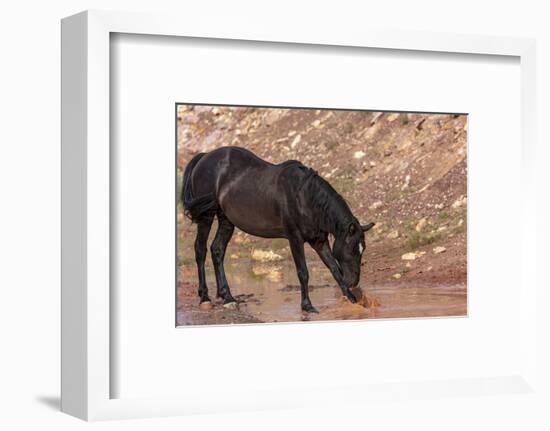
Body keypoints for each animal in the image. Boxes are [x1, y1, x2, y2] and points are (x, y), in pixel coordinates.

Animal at [181, 147, 376, 312]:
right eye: (352, 250)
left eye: (362, 249)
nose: (353, 282)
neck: (305, 197)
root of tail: (204, 157)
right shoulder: (295, 239)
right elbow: (303, 272)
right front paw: (307, 305)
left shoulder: (319, 241)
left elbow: (334, 268)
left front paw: (352, 299)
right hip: (206, 217)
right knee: (200, 250)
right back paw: (205, 297)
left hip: (226, 220)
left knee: (217, 250)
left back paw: (227, 297)